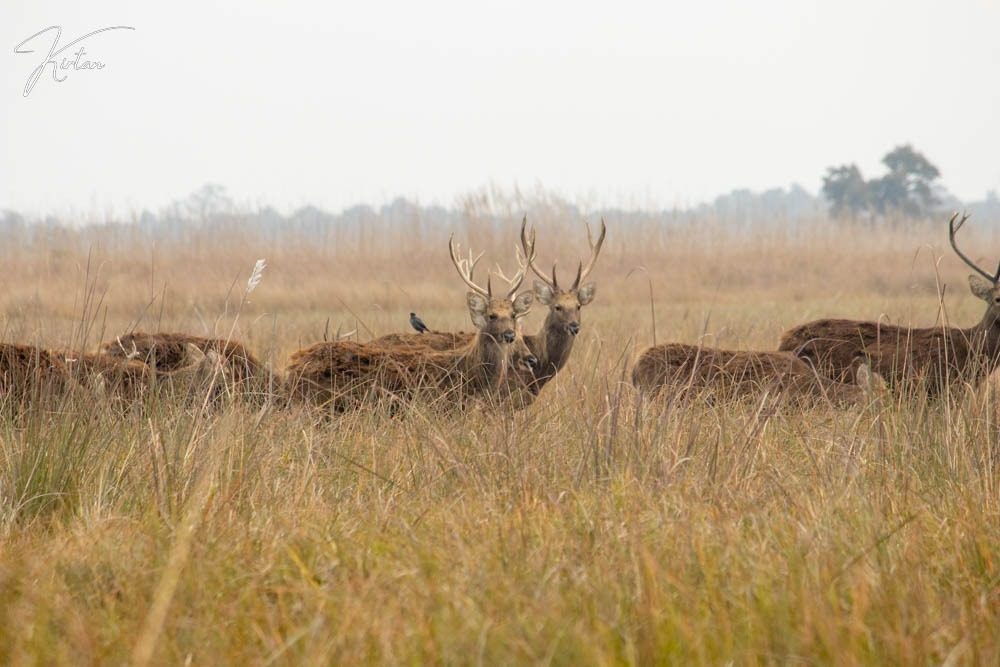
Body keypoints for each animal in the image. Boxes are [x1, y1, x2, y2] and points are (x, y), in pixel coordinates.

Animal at [284, 235, 539, 412]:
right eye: (491, 315)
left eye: (513, 315)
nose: (509, 335)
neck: (471, 377)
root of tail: (291, 367)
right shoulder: (442, 409)